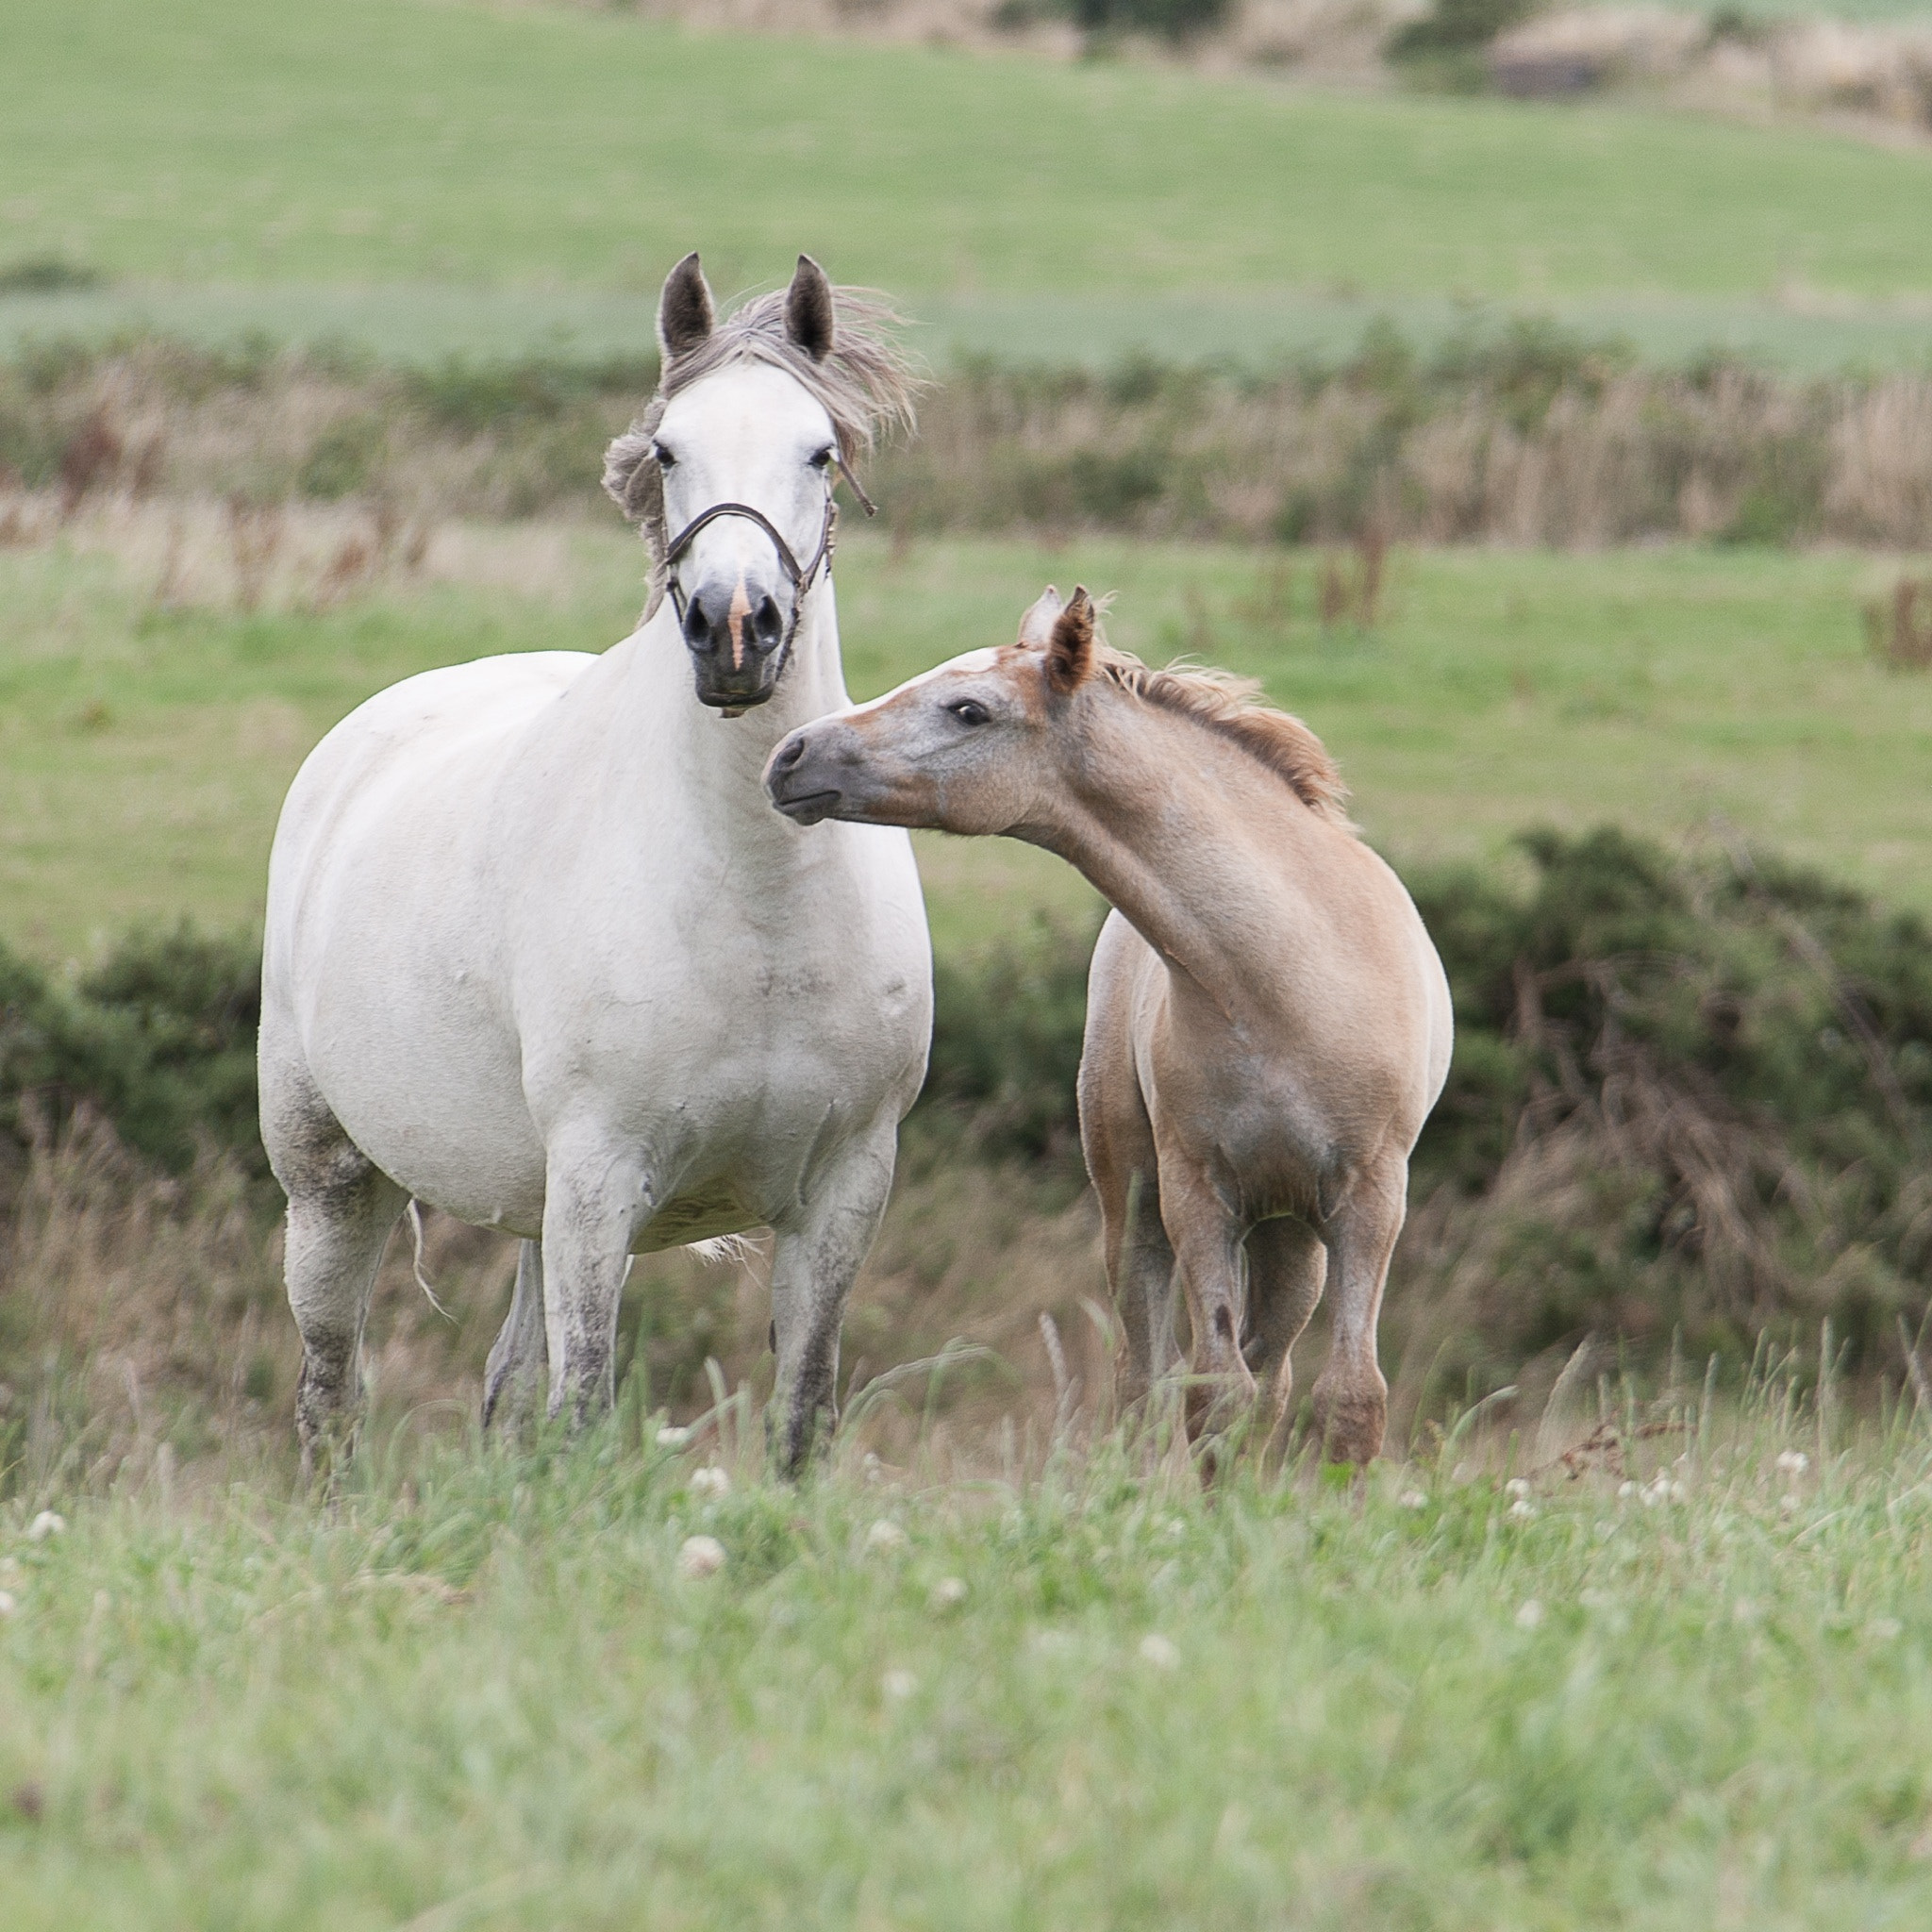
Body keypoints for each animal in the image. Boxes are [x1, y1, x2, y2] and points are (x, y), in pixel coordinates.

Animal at [259, 254, 932, 1474]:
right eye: (667, 449)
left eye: (819, 450)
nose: (735, 629)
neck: (757, 903)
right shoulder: (597, 1180)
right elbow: (581, 1404)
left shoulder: (846, 1186)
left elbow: (799, 1411)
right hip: (330, 1181)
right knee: (331, 1396)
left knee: (503, 1383)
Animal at [764, 586, 1452, 1463]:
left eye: (968, 709)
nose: (791, 755)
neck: (1290, 981)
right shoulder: (1200, 1194)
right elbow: (1213, 1390)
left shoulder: (1371, 1199)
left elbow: (1349, 1399)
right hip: (1137, 1200)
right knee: (1148, 1378)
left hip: (1292, 1230)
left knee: (1273, 1375)